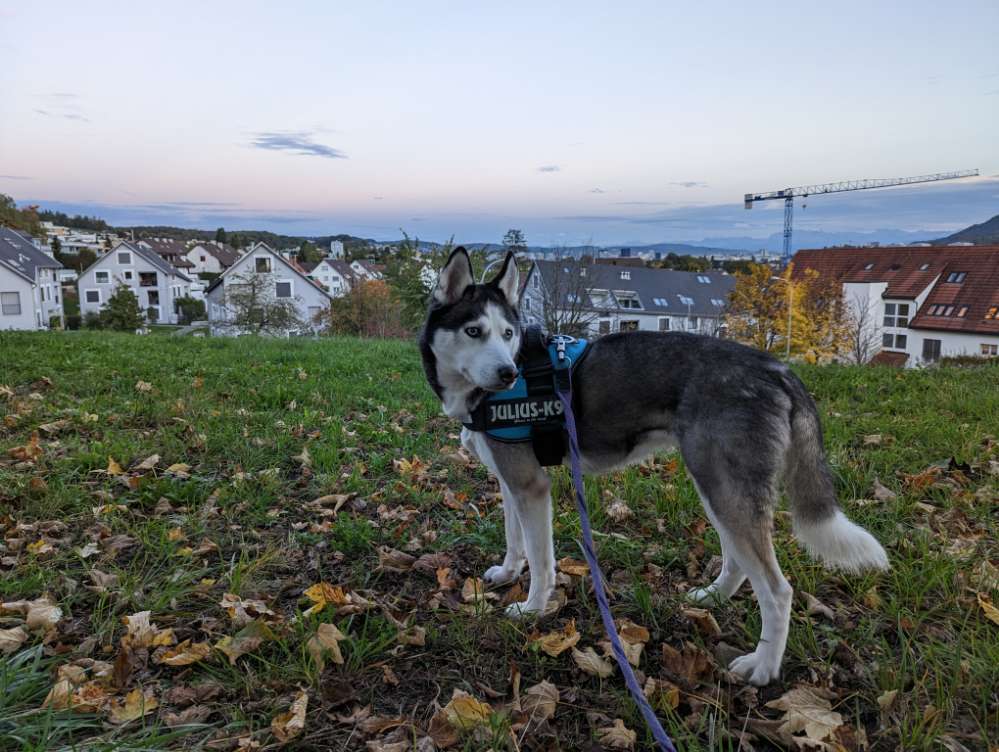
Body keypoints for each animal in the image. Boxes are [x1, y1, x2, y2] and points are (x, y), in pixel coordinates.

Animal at [418, 250, 888, 684]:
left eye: (508, 333)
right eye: (474, 331)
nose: (507, 372)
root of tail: (778, 368)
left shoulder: (531, 486)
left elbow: (541, 559)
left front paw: (533, 608)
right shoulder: (510, 482)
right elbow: (515, 539)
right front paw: (507, 573)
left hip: (725, 490)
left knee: (778, 591)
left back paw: (763, 666)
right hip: (717, 487)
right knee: (738, 562)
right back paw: (714, 598)